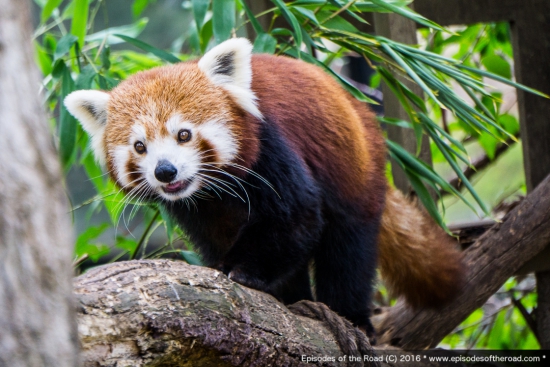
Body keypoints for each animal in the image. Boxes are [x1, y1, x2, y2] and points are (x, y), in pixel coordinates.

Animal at [67, 36, 468, 336]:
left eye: (183, 134)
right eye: (140, 146)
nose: (165, 172)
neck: (213, 189)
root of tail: (360, 110)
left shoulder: (269, 149)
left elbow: (296, 215)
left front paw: (242, 270)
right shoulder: (199, 209)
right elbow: (221, 236)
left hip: (354, 173)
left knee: (347, 250)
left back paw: (350, 315)